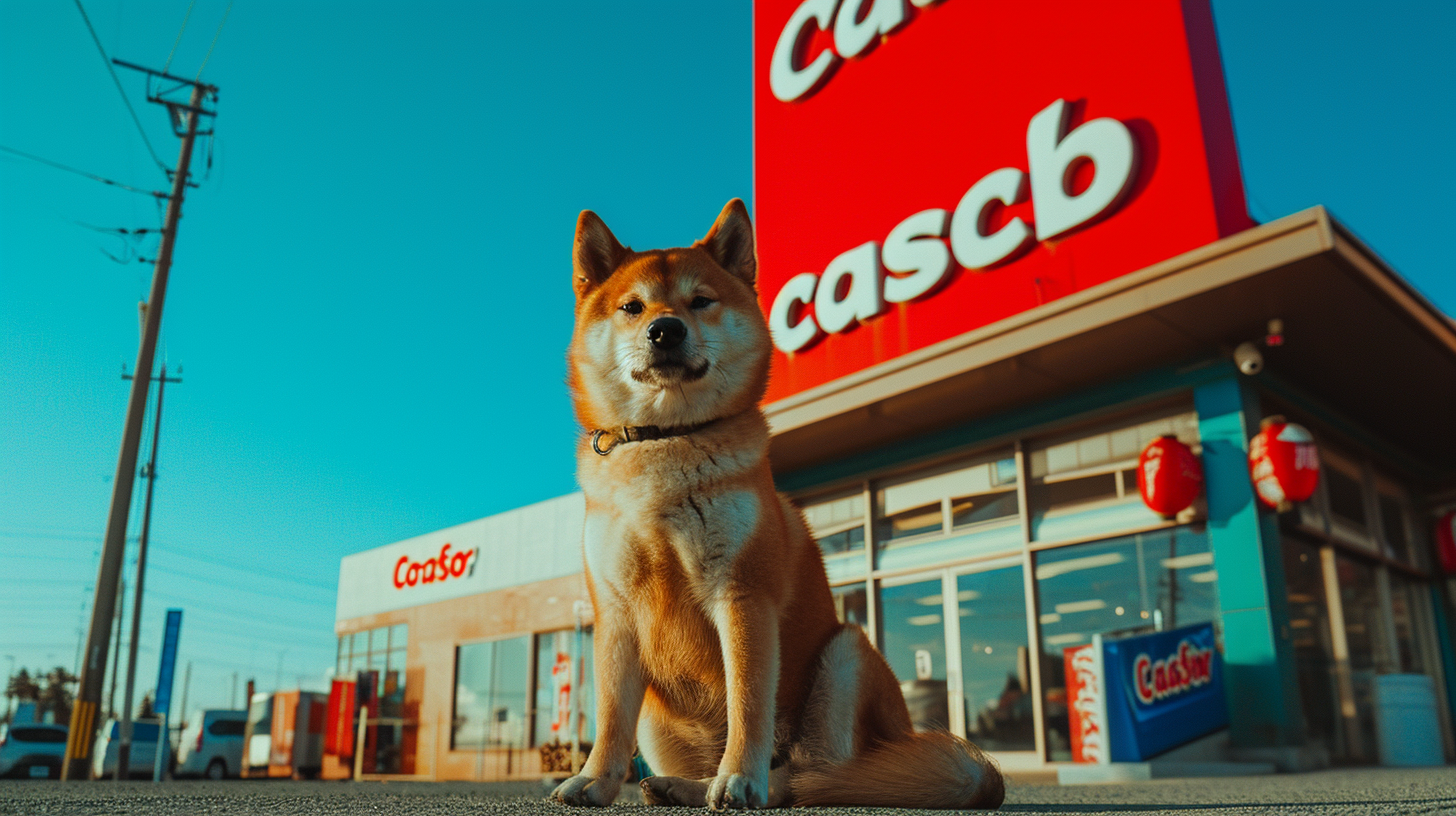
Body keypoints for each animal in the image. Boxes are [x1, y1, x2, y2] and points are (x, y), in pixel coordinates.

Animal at [547, 199, 1001, 810]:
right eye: (632, 307)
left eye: (701, 300)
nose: (665, 330)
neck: (665, 443)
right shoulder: (616, 615)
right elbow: (611, 715)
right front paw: (595, 778)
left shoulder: (743, 595)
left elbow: (748, 705)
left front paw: (742, 777)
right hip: (660, 717)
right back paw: (681, 785)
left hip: (845, 655)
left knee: (815, 774)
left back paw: (765, 784)